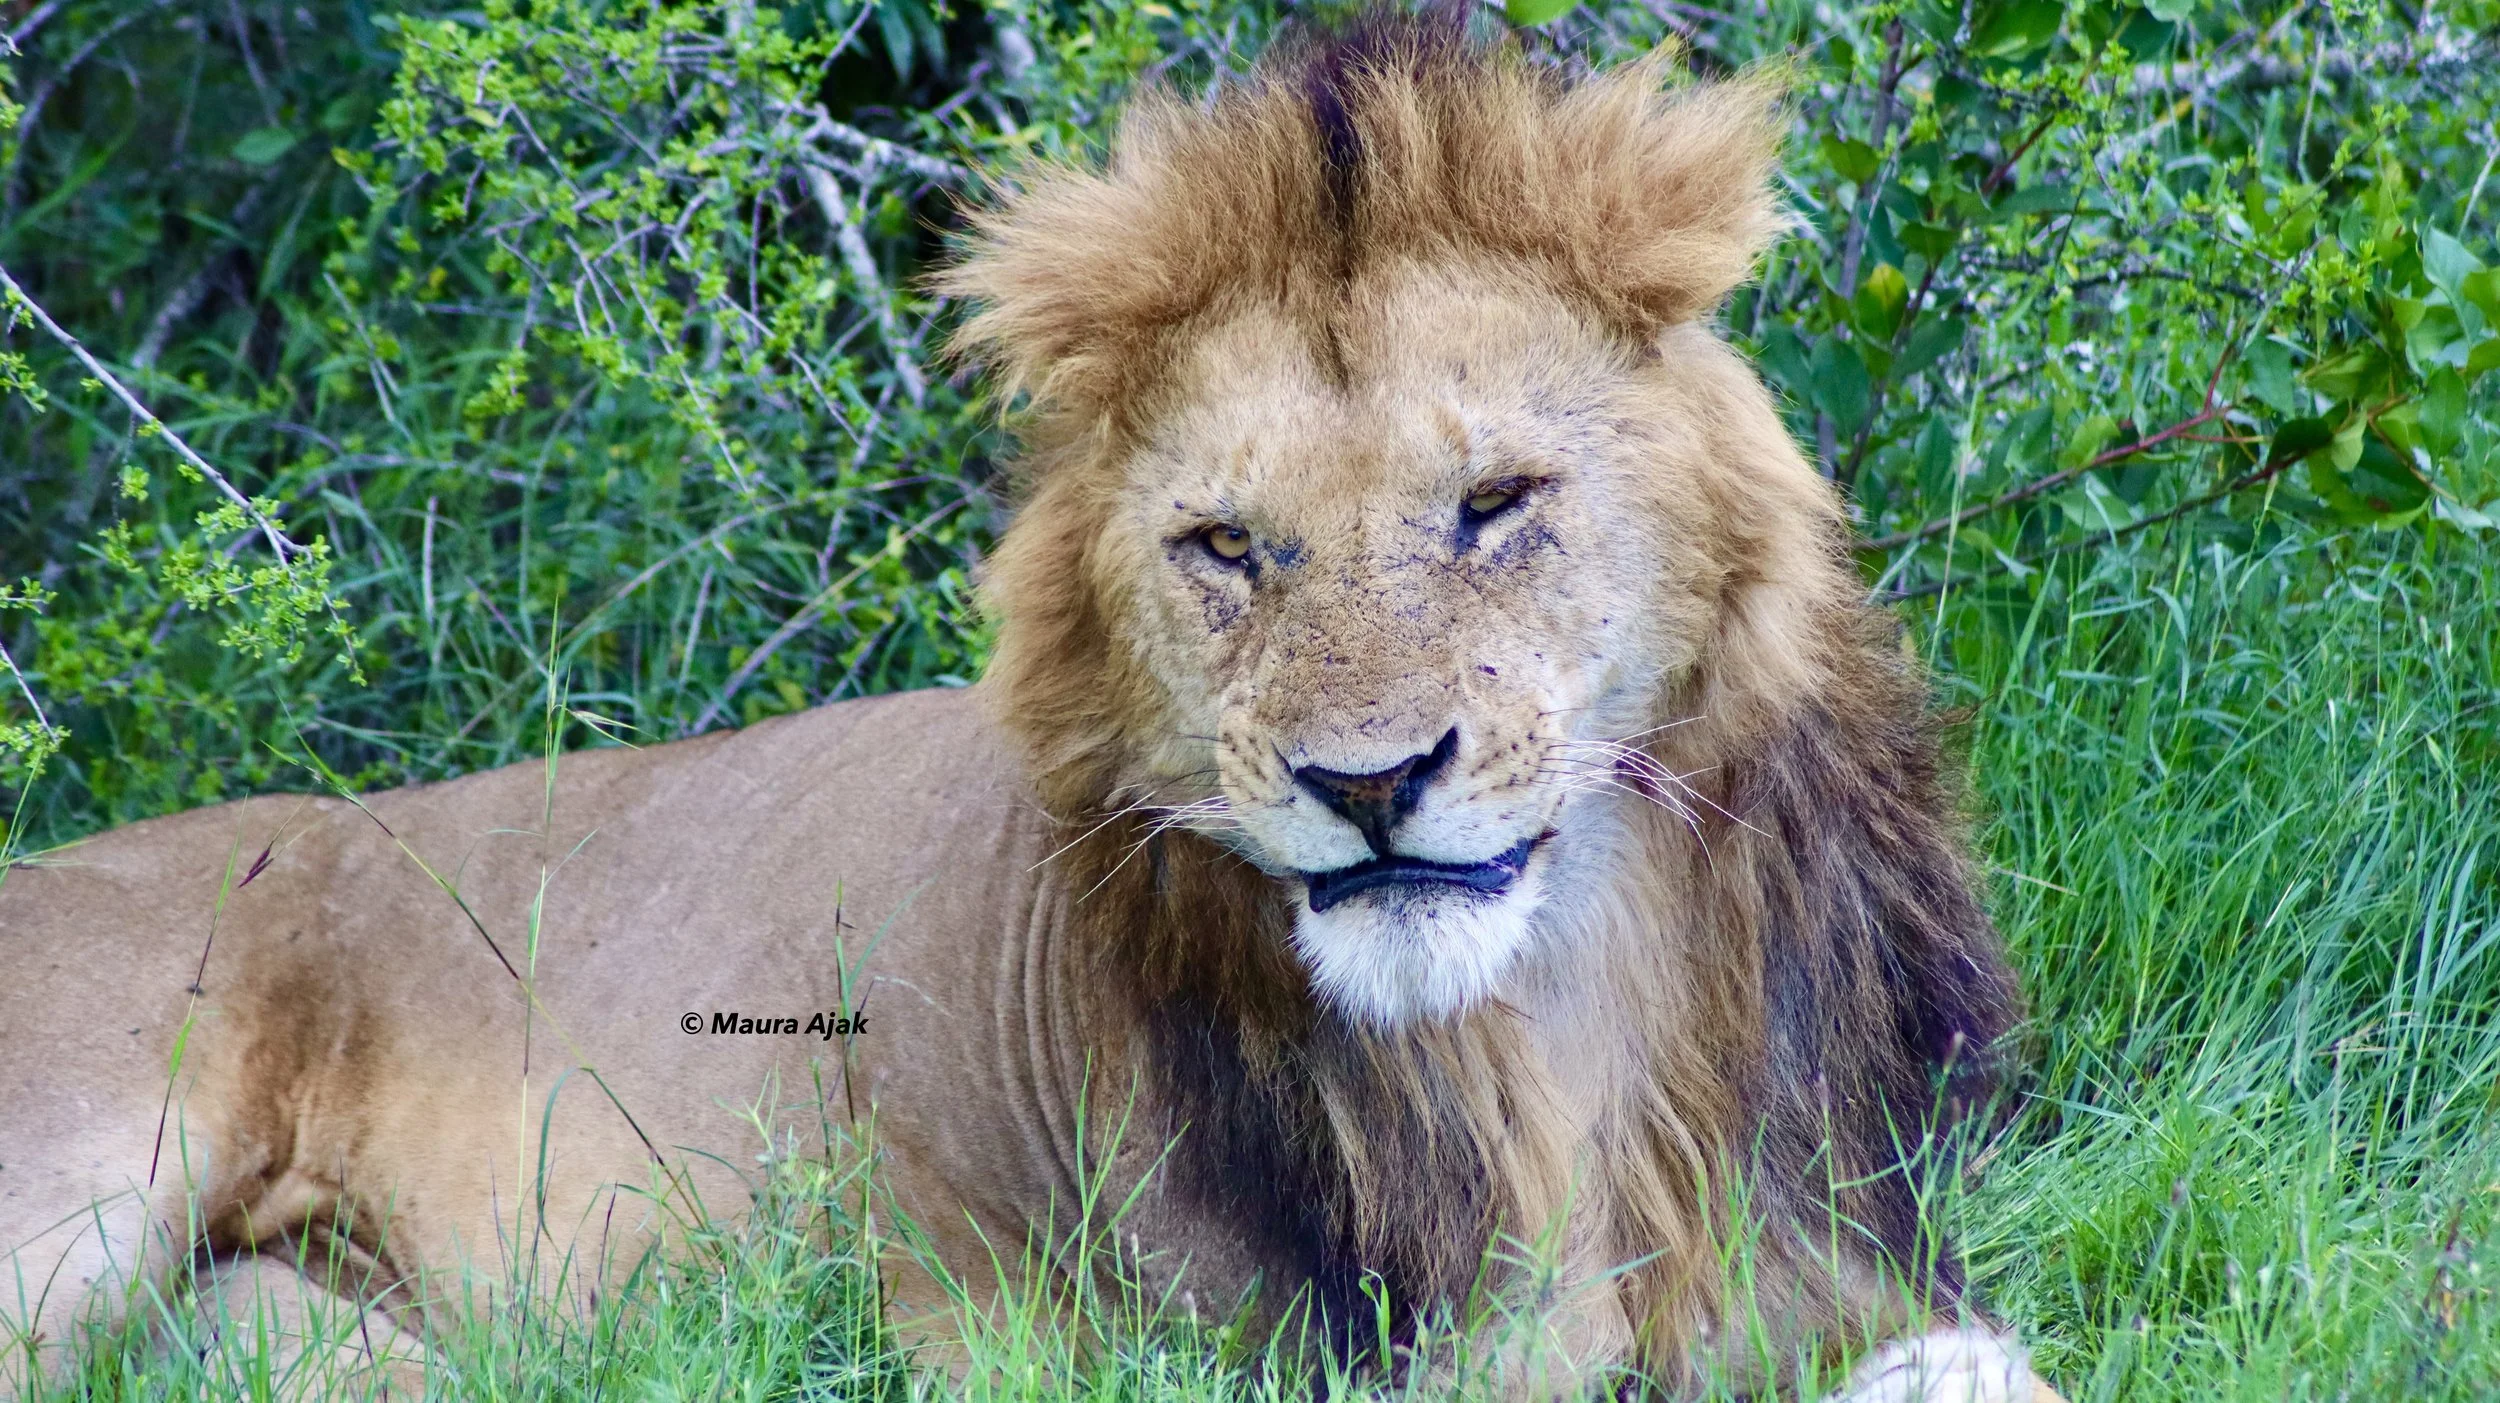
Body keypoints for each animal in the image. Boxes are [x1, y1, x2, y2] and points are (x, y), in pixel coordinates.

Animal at [2, 14, 2062, 1401]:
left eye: (1494, 504)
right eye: (1228, 546)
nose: (1371, 783)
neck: (1560, 1020)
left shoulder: (1847, 1249)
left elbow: (1983, 1355)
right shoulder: (1079, 1325)